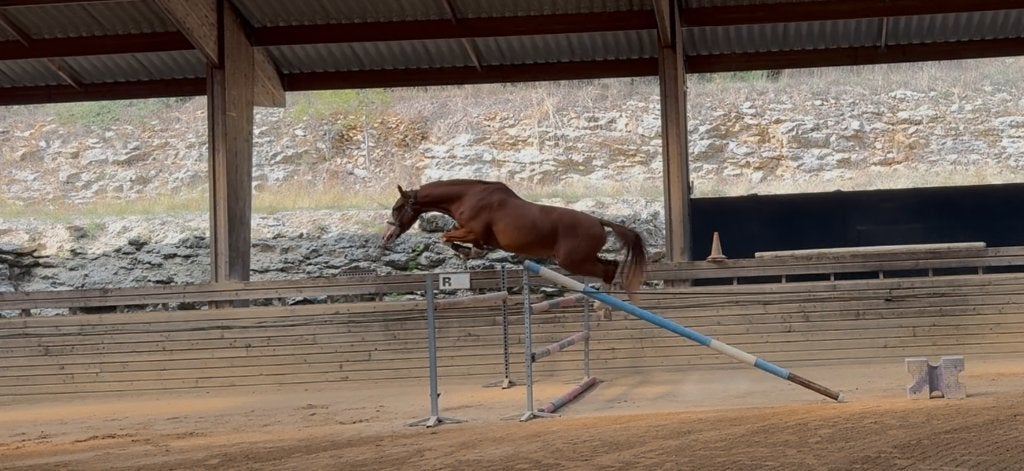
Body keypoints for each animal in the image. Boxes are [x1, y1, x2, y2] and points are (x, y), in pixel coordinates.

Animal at [380, 179, 648, 298]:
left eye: (396, 208)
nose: (386, 237)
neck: (467, 196)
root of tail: (599, 221)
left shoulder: (472, 230)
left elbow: (446, 237)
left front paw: (469, 252)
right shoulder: (470, 232)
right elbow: (455, 239)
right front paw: (472, 252)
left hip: (572, 260)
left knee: (608, 269)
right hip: (583, 258)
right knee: (611, 265)